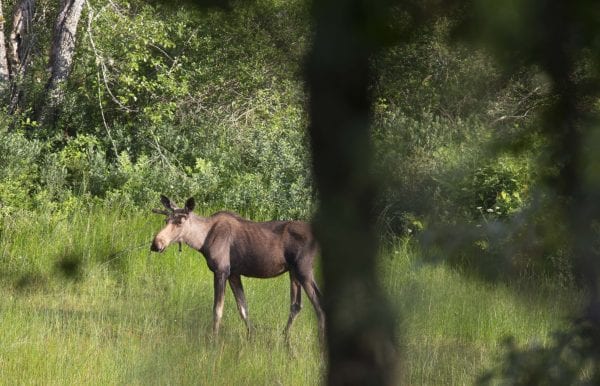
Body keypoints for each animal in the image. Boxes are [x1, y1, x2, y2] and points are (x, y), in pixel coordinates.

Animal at [152, 195, 326, 342]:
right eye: (166, 219)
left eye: (179, 222)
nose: (156, 244)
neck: (201, 241)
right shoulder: (234, 273)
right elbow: (243, 308)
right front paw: (251, 337)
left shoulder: (221, 270)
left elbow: (217, 310)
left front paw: (213, 341)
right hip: (294, 271)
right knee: (296, 305)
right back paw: (285, 337)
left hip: (304, 270)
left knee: (319, 305)